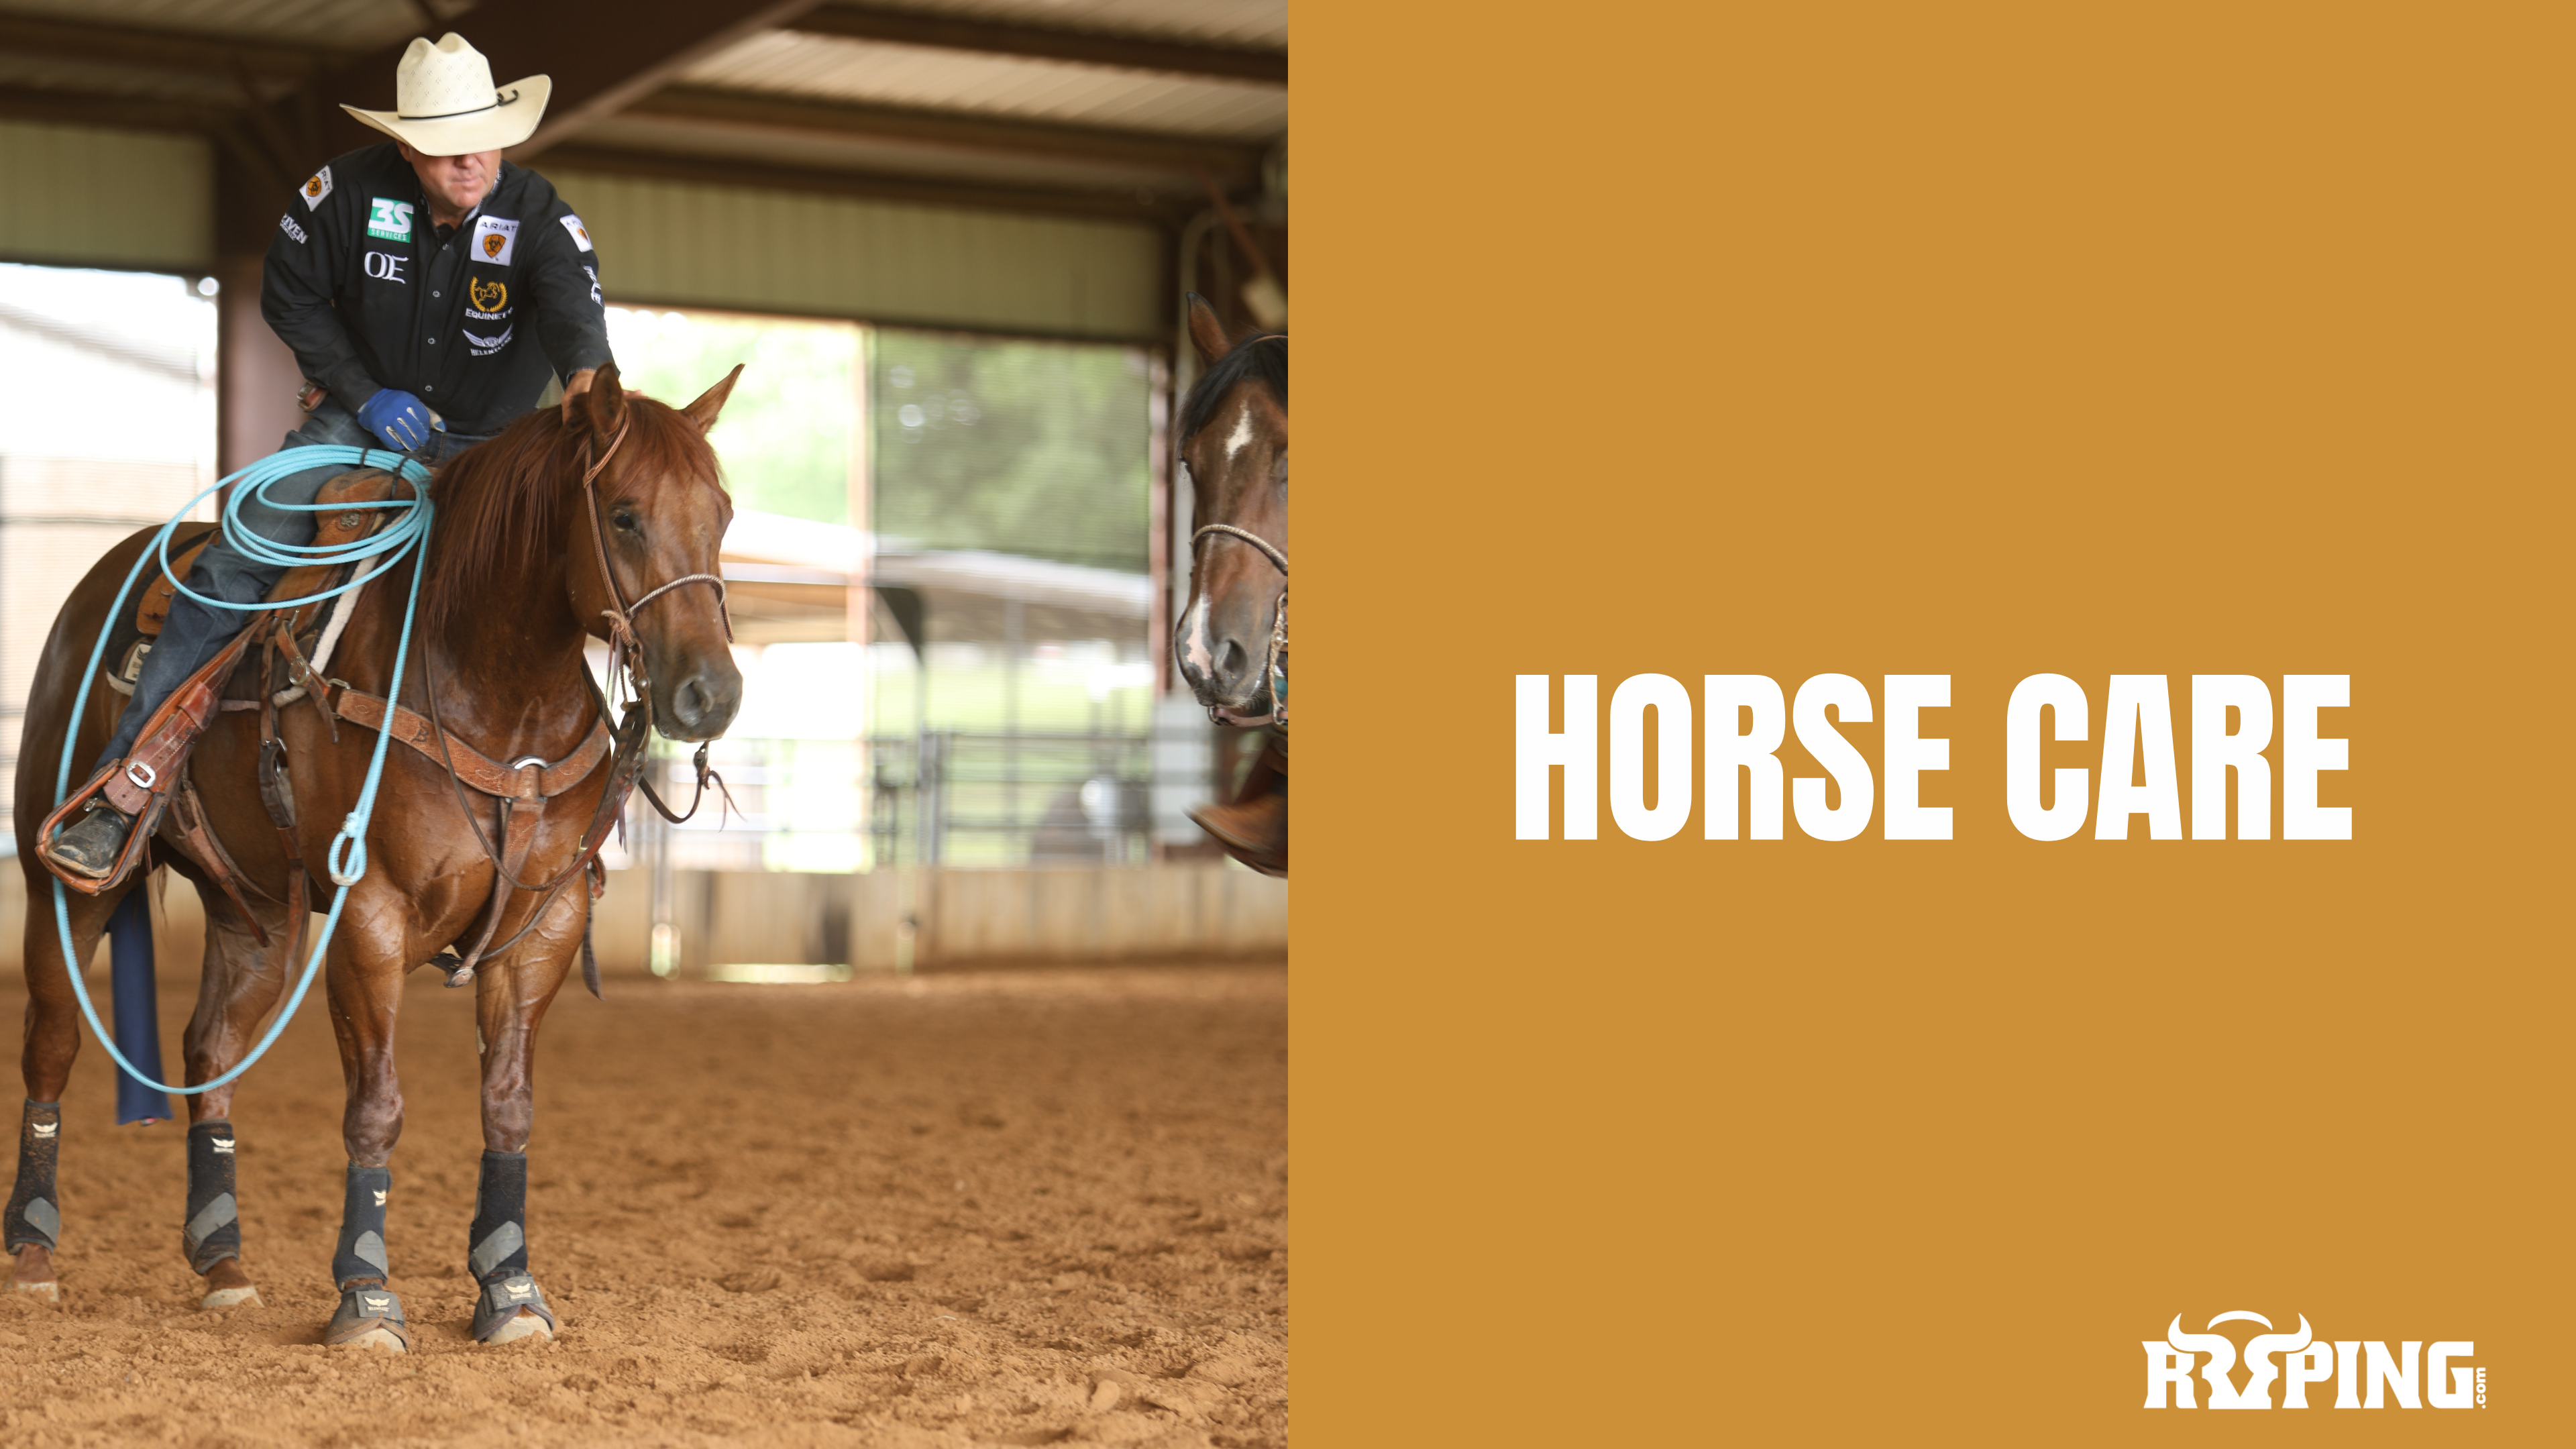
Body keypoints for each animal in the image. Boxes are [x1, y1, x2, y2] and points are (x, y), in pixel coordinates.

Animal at [4, 362, 743, 1350]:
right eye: (624, 515)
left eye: (723, 512)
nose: (712, 694)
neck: (495, 690)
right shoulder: (371, 916)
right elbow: (377, 1108)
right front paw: (364, 1294)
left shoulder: (543, 926)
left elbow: (508, 1104)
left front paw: (510, 1286)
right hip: (67, 887)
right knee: (53, 1042)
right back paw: (35, 1253)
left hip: (256, 913)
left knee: (210, 1050)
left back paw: (224, 1262)